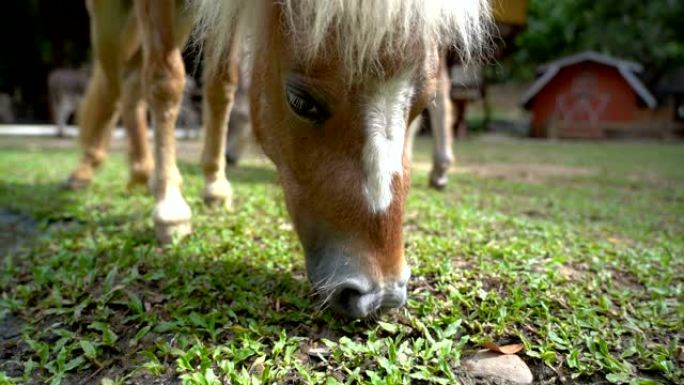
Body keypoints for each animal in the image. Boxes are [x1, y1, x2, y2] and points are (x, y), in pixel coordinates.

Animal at [67, 0, 488, 318]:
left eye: (421, 106)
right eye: (301, 101)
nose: (380, 295)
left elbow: (222, 82)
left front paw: (215, 184)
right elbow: (166, 81)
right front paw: (170, 208)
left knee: (129, 81)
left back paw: (142, 172)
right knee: (114, 81)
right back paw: (90, 169)